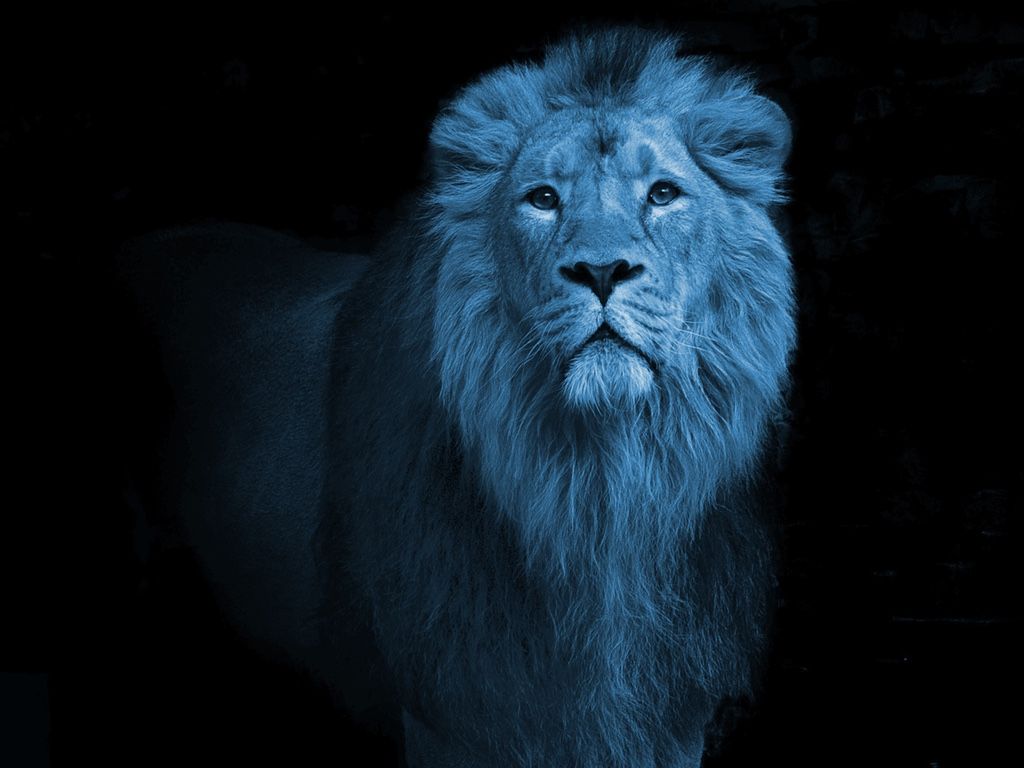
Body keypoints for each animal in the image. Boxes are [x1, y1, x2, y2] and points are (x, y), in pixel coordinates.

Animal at [120, 27, 795, 768]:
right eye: (543, 199)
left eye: (664, 193)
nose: (601, 270)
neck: (598, 491)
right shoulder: (454, 710)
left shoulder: (671, 719)